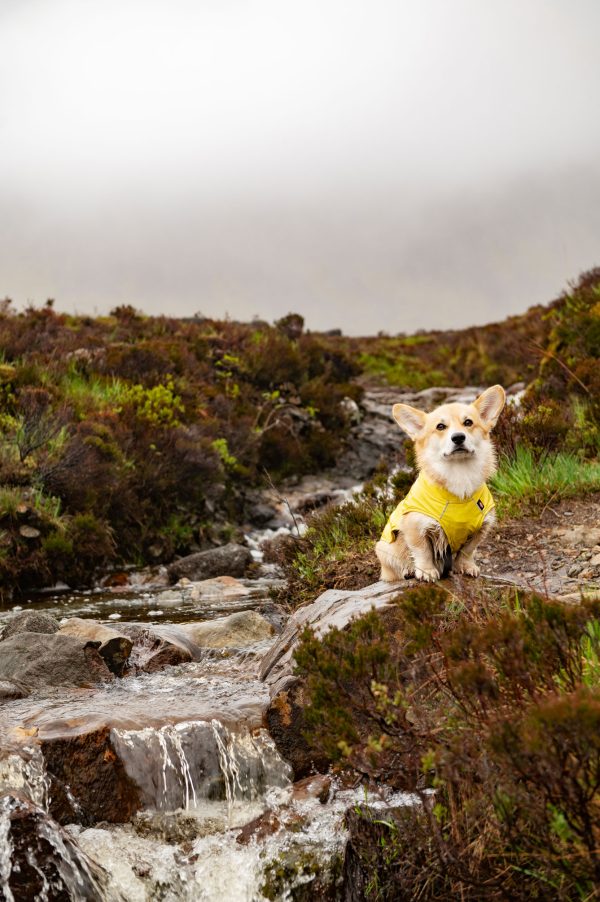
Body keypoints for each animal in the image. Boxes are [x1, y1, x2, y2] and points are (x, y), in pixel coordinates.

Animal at [378, 384, 504, 584]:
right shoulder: (415, 527)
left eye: (468, 422)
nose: (458, 437)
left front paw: (466, 567)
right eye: (440, 426)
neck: (459, 473)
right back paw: (408, 571)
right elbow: (423, 551)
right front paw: (426, 571)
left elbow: (468, 551)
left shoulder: (481, 527)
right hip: (384, 549)